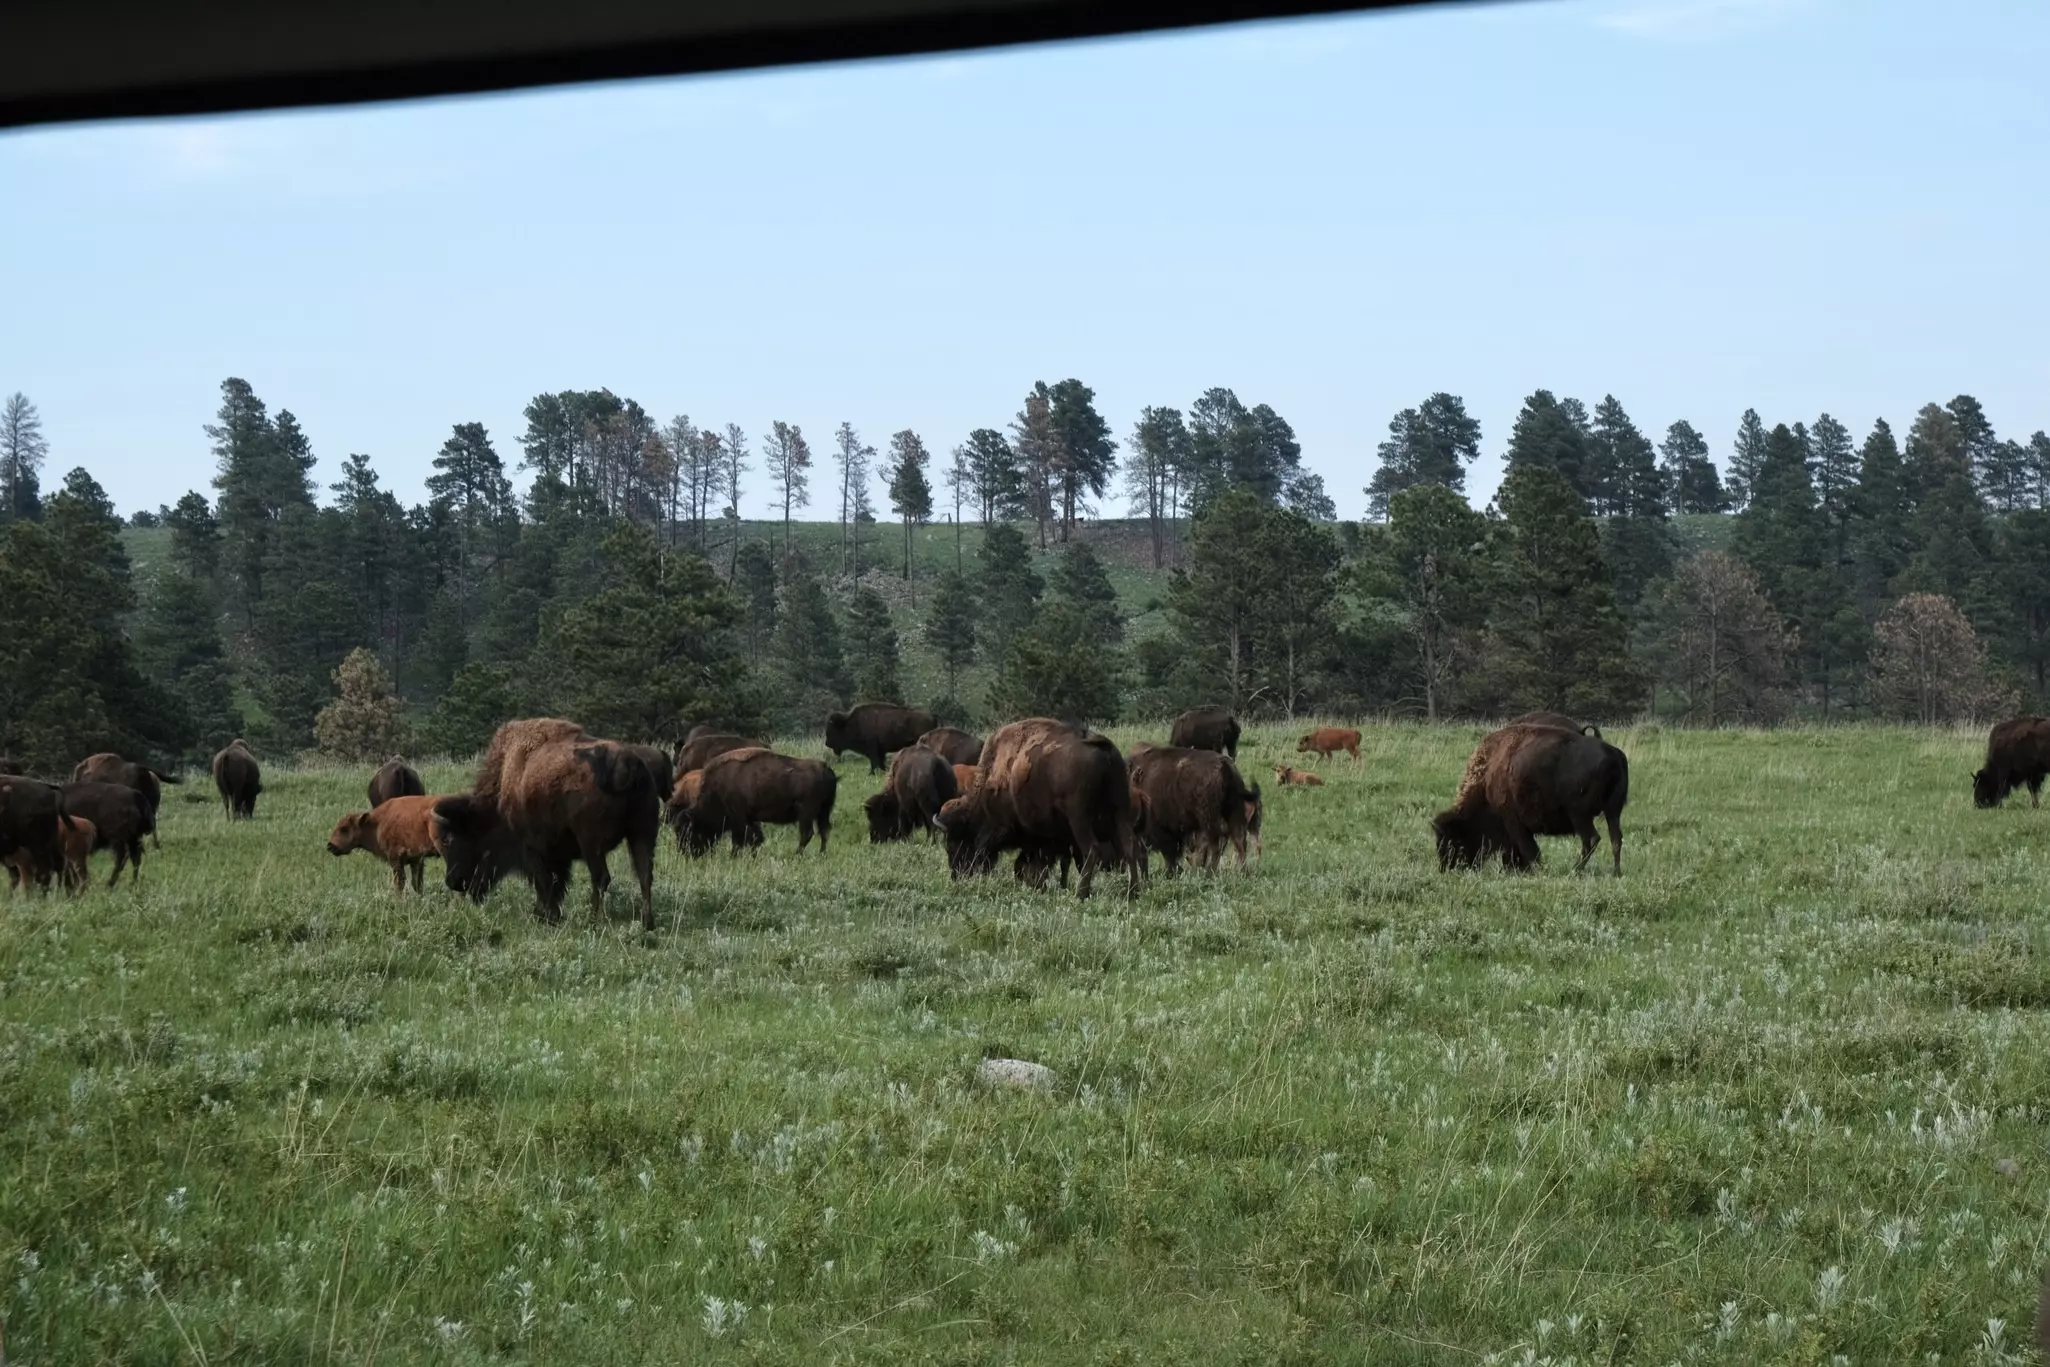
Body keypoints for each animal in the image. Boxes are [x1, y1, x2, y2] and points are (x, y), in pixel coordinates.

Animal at [433, 718, 661, 929]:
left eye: (454, 838)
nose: (452, 881)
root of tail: (627, 762)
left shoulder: (533, 848)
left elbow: (544, 881)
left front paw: (546, 915)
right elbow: (556, 882)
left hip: (592, 843)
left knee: (601, 878)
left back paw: (593, 920)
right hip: (642, 834)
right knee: (644, 875)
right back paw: (647, 922)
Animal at [1434, 721, 1629, 875]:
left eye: (1453, 841)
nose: (1447, 868)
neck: (1488, 775)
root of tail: (1614, 754)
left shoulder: (1513, 821)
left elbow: (1527, 849)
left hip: (1579, 814)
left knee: (1591, 839)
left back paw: (1575, 870)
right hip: (1613, 811)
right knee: (1616, 839)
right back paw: (1616, 872)